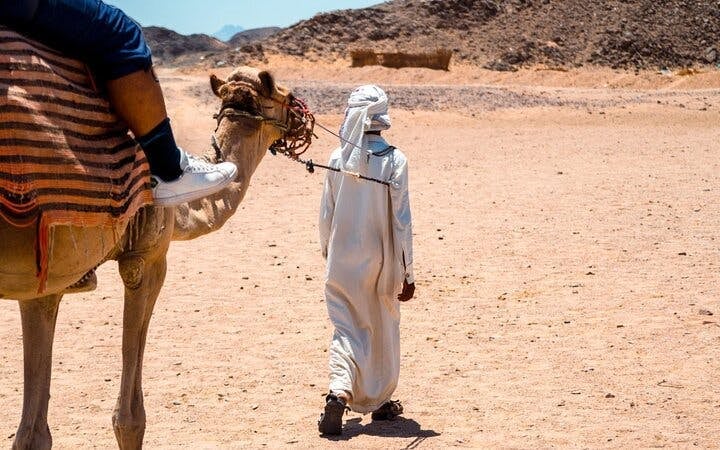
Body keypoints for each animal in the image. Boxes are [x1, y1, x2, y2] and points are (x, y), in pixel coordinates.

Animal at [0, 63, 311, 449]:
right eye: (285, 94)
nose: (304, 116)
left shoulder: (45, 281)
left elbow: (32, 434)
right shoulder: (146, 259)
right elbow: (129, 419)